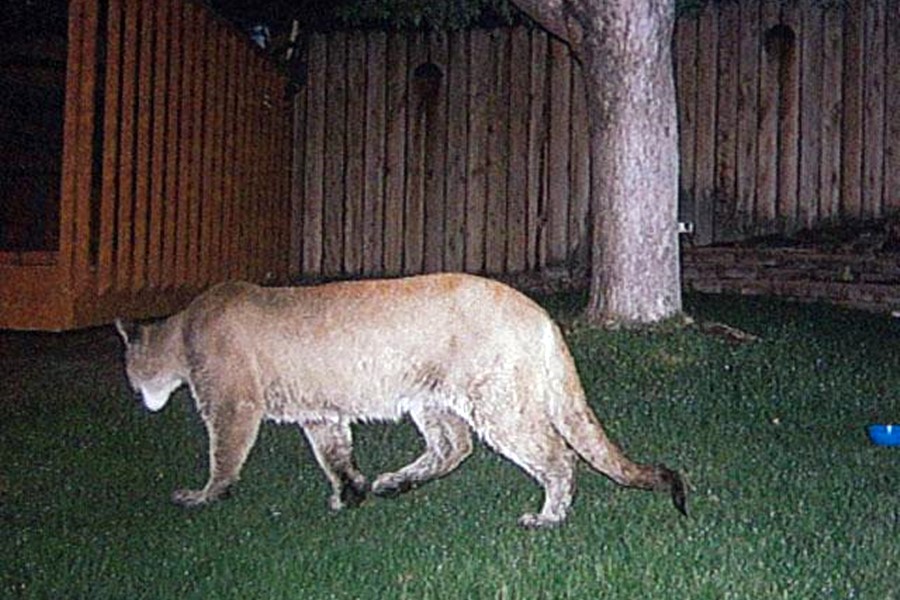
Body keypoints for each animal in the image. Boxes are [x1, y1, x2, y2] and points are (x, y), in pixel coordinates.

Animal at [116, 272, 684, 524]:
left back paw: (547, 517)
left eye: (132, 376)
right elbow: (335, 456)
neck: (183, 329)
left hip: (495, 403)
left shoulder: (231, 405)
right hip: (431, 398)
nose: (140, 400)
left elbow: (223, 456)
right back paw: (394, 483)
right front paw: (350, 494)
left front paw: (204, 496)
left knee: (557, 456)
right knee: (454, 447)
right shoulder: (319, 413)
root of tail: (538, 312)